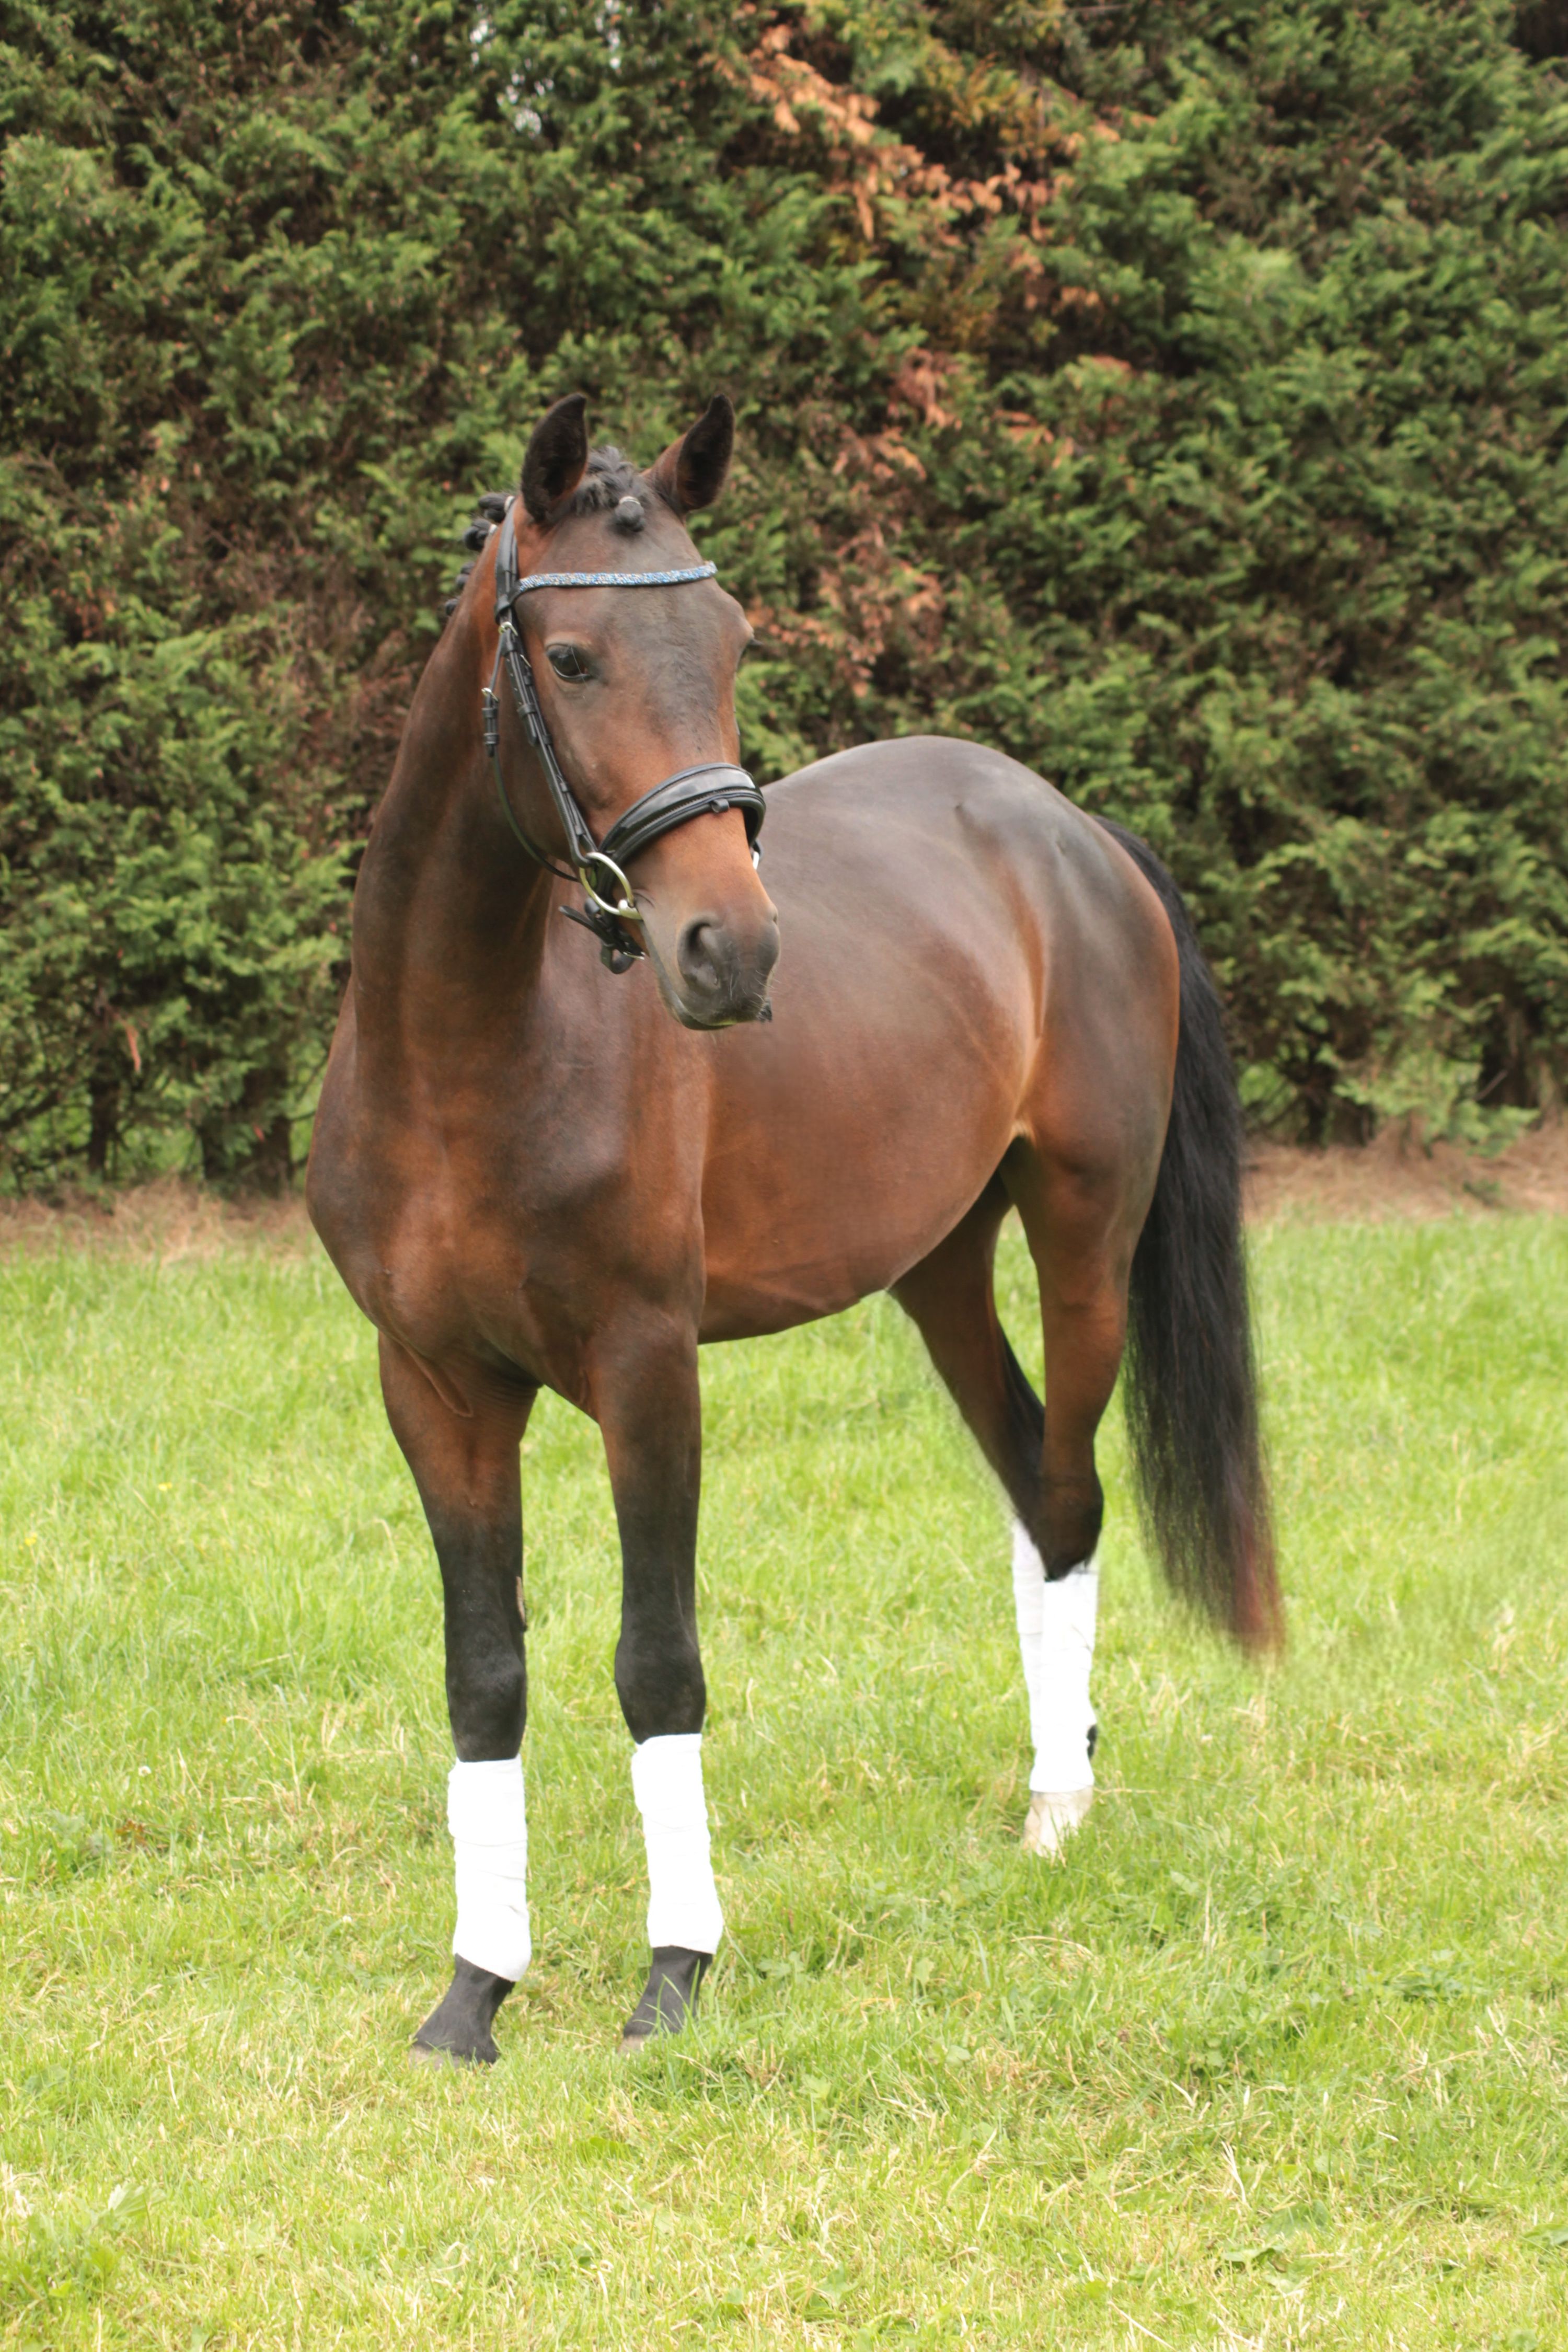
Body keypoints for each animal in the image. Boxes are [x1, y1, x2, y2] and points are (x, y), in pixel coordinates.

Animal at [306, 391, 1279, 2064]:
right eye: (573, 656)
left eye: (733, 638)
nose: (733, 949)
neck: (462, 1051)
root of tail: (1068, 826)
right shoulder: (432, 1386)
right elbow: (483, 1675)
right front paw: (474, 1991)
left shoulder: (648, 1369)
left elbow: (656, 1663)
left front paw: (674, 1967)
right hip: (938, 1267)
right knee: (1029, 1481)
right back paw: (1062, 1753)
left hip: (1083, 1236)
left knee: (1070, 1493)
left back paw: (1058, 1805)